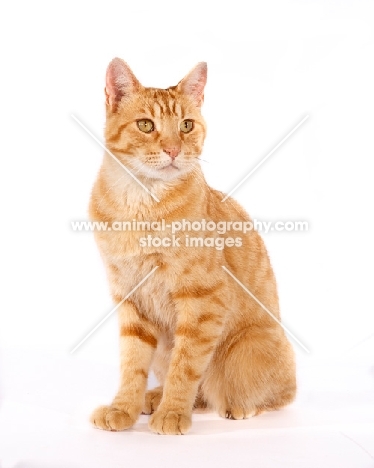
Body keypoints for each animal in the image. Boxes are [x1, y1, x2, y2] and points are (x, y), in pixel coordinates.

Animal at [88, 58, 296, 436]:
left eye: (186, 125)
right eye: (145, 125)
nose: (173, 150)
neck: (140, 203)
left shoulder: (203, 302)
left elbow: (185, 367)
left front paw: (172, 413)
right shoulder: (130, 299)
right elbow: (132, 364)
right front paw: (123, 408)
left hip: (245, 353)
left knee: (273, 393)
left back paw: (238, 406)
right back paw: (153, 397)